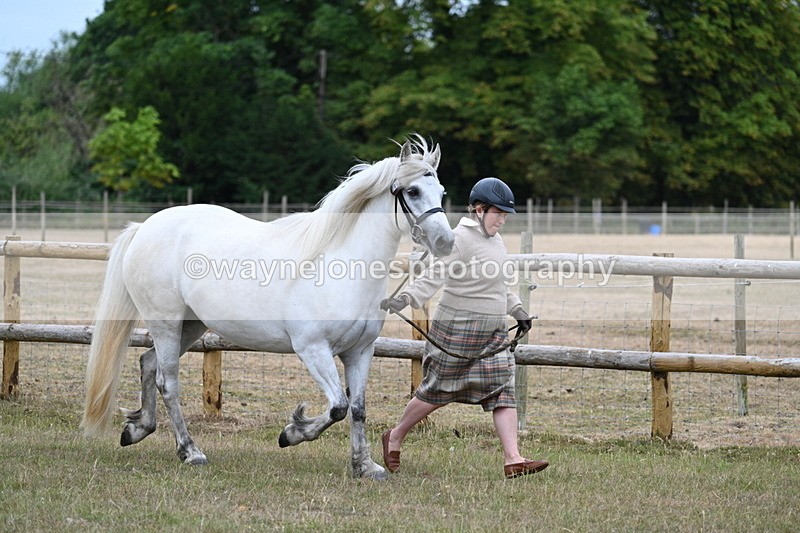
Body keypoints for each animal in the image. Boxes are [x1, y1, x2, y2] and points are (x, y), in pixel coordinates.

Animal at [81, 136, 454, 480]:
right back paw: (190, 451)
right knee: (167, 381)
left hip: (192, 325)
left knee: (147, 364)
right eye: (413, 191)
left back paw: (137, 429)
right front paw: (292, 433)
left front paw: (364, 466)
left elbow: (358, 408)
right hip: (166, 323)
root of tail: (144, 227)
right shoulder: (312, 349)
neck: (343, 264)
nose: (446, 243)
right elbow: (338, 407)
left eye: (441, 192)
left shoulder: (360, 351)